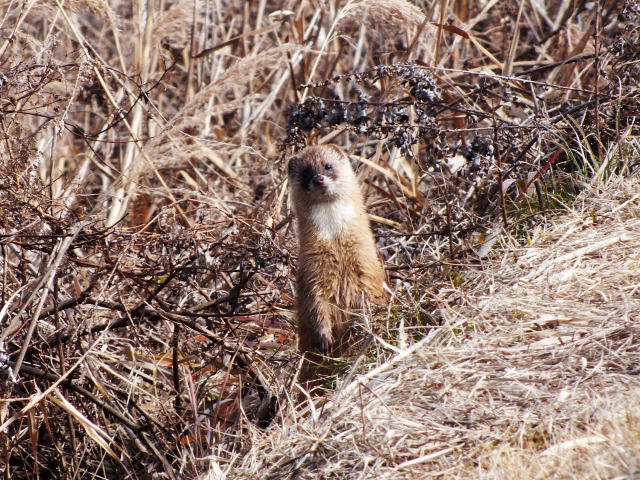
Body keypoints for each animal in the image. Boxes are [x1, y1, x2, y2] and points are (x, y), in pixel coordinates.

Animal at [288, 144, 388, 392]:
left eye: (327, 165)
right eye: (306, 172)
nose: (319, 178)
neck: (335, 240)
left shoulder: (366, 261)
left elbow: (369, 295)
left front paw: (363, 323)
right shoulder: (311, 269)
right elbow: (316, 304)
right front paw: (324, 338)